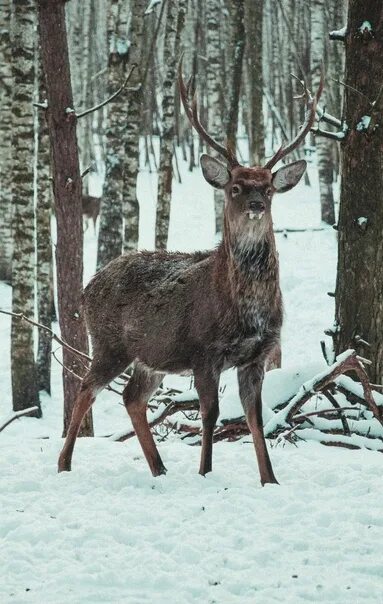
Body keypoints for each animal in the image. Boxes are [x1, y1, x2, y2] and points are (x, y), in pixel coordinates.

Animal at [57, 61, 324, 486]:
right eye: (235, 187)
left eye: (268, 188)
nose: (255, 204)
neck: (244, 309)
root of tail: (86, 289)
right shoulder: (204, 352)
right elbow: (210, 414)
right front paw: (205, 472)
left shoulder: (257, 356)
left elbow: (256, 419)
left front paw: (270, 480)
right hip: (110, 343)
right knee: (86, 388)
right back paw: (64, 463)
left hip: (150, 356)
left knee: (132, 397)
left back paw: (160, 467)